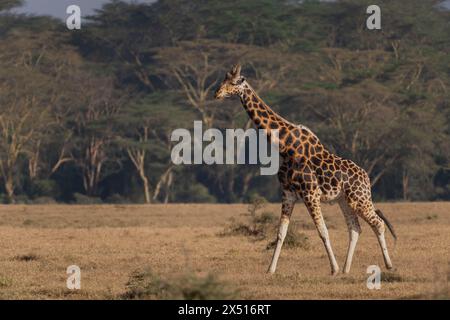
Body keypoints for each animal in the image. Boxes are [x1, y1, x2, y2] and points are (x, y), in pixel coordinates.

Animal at [213, 65, 396, 276]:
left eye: (234, 82)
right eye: (223, 81)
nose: (217, 94)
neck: (284, 146)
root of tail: (366, 177)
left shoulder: (310, 193)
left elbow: (323, 231)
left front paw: (332, 268)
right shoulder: (288, 193)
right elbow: (281, 233)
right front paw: (270, 270)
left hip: (360, 198)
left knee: (378, 223)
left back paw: (388, 265)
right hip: (344, 200)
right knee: (355, 228)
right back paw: (346, 269)